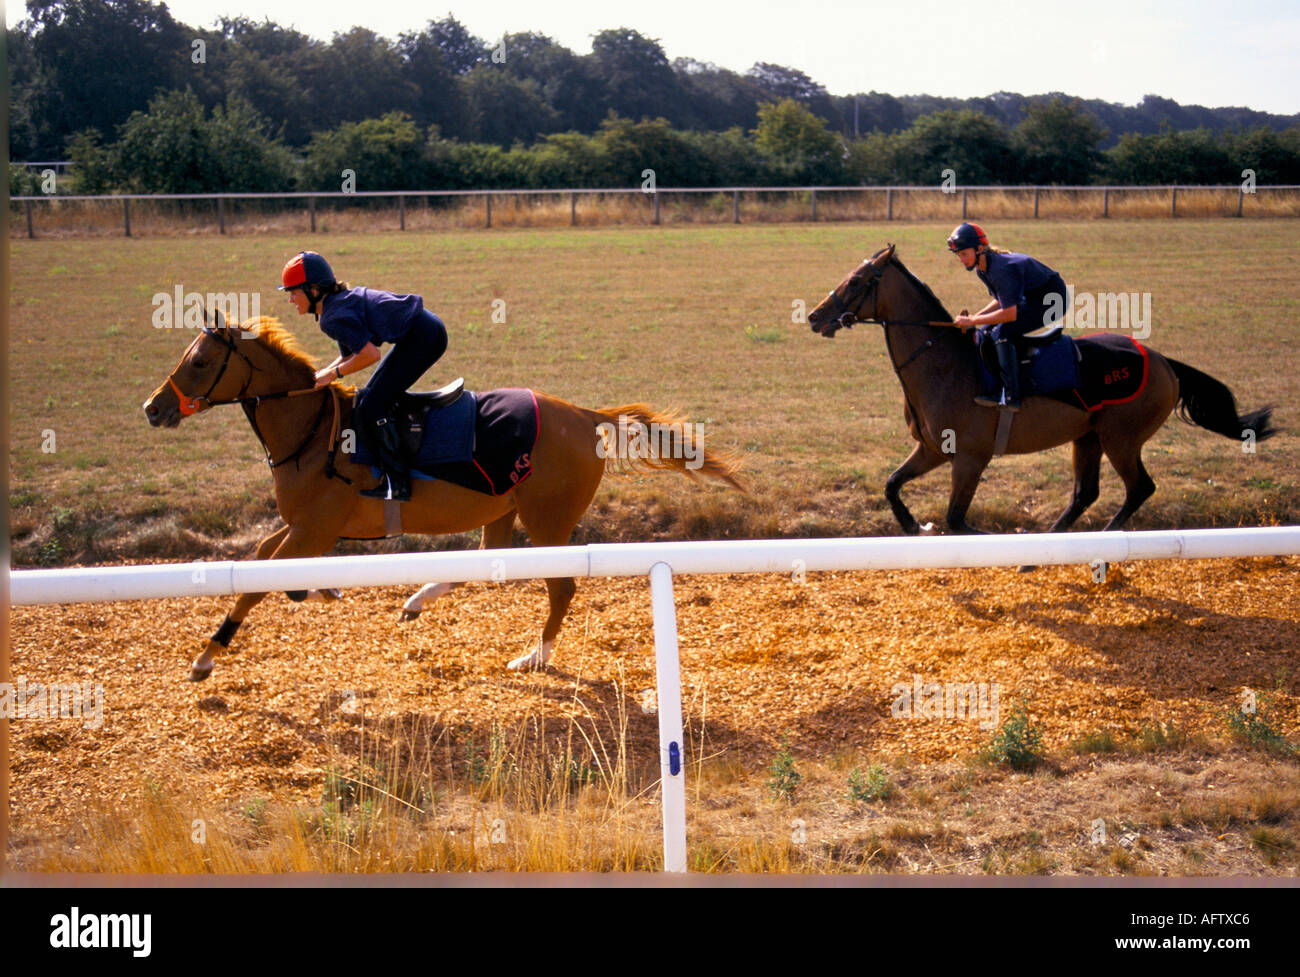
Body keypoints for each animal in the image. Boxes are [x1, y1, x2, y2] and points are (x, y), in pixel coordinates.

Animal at [143, 316, 743, 681]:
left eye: (199, 362)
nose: (153, 408)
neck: (309, 432)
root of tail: (586, 415)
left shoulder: (313, 528)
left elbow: (253, 587)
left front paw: (205, 657)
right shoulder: (300, 526)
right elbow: (262, 563)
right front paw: (322, 589)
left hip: (547, 520)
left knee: (561, 587)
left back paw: (534, 656)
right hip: (502, 508)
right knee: (487, 563)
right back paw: (418, 599)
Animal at [807, 244, 1276, 538]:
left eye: (857, 280)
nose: (814, 316)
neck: (941, 363)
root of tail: (1163, 361)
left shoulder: (970, 457)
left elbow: (957, 520)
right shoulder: (933, 449)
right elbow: (891, 484)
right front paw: (911, 525)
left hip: (1120, 437)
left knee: (1139, 488)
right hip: (1088, 437)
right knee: (1086, 493)